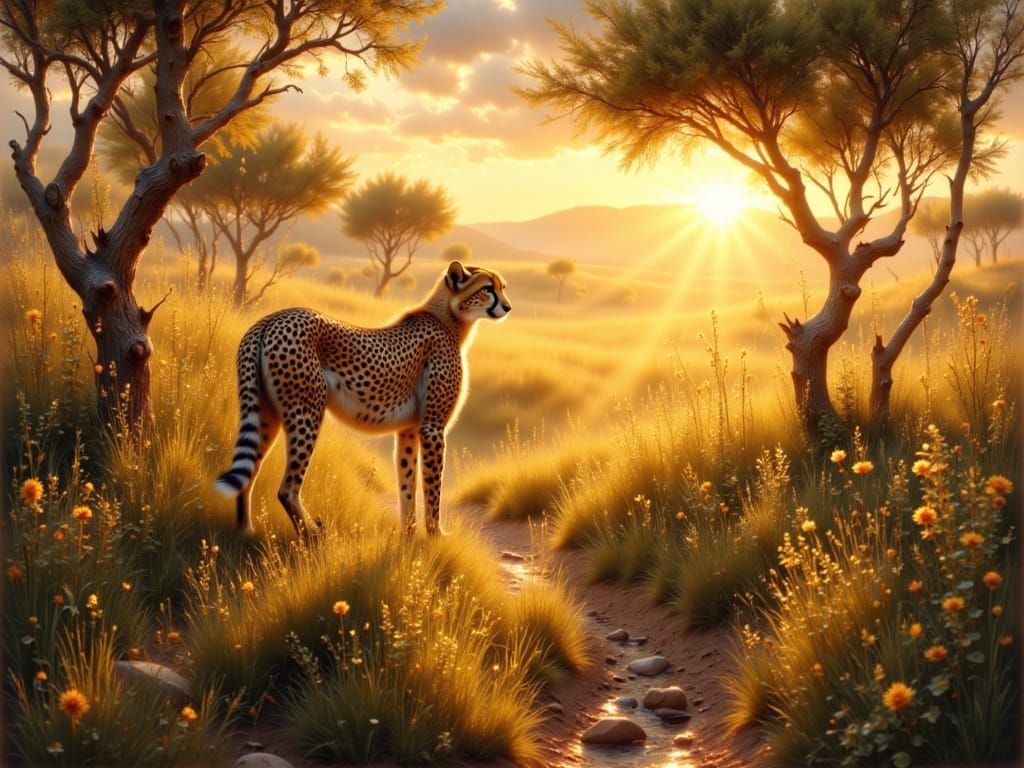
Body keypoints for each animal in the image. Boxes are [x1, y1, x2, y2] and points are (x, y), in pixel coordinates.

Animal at [214, 260, 511, 537]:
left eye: (502, 287)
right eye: (487, 289)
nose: (507, 307)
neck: (448, 317)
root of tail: (270, 319)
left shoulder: (408, 430)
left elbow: (407, 483)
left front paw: (409, 535)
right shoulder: (432, 428)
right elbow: (432, 486)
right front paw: (436, 536)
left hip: (266, 415)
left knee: (249, 474)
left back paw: (246, 532)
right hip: (306, 412)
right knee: (287, 488)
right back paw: (311, 533)